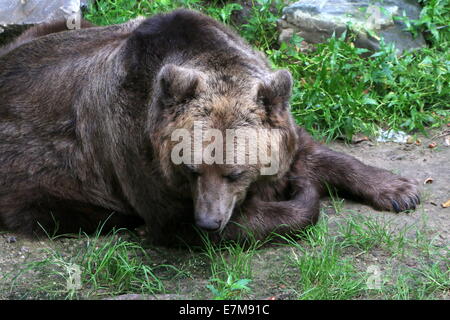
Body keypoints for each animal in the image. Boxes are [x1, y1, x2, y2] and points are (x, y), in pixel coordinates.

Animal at [0, 9, 422, 245]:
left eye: (234, 171)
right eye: (191, 169)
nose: (208, 221)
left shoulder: (274, 117)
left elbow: (312, 151)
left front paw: (399, 190)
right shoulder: (136, 153)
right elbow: (181, 222)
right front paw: (301, 195)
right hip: (41, 176)